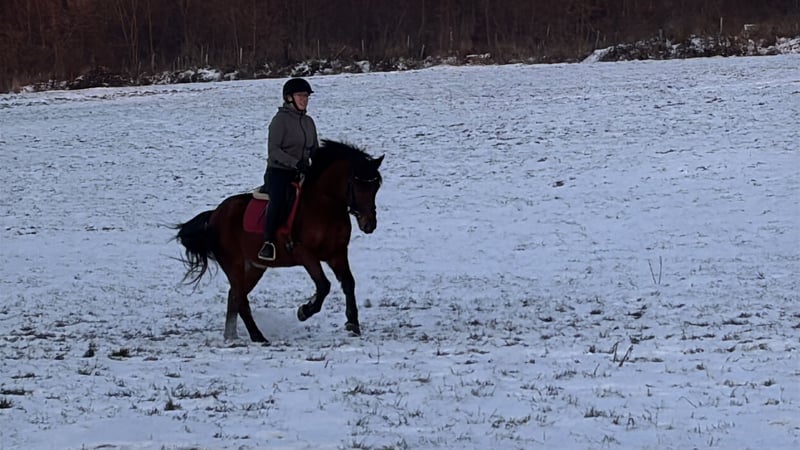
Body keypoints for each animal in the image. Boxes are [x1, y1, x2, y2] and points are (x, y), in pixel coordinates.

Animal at [175, 140, 384, 344]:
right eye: (357, 184)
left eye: (375, 187)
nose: (369, 224)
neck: (324, 207)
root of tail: (215, 214)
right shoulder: (305, 253)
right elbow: (324, 286)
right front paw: (304, 311)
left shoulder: (337, 254)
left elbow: (348, 283)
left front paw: (352, 324)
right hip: (234, 264)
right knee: (240, 297)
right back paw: (257, 336)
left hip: (255, 267)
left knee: (234, 296)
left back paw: (232, 336)